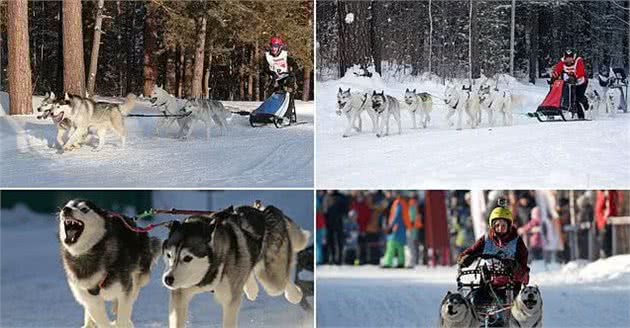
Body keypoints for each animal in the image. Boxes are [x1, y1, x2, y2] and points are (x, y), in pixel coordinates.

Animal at [59, 200, 162, 328]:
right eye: (67, 205)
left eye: (84, 209)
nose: (66, 209)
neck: (86, 253)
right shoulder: (90, 298)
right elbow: (100, 318)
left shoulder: (124, 291)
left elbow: (123, 314)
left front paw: (121, 321)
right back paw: (89, 323)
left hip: (141, 276)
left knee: (133, 290)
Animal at [163, 204, 312, 326]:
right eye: (169, 255)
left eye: (187, 258)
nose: (168, 279)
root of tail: (263, 210)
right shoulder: (179, 296)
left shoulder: (229, 302)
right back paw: (251, 288)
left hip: (271, 280)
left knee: (282, 282)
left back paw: (295, 294)